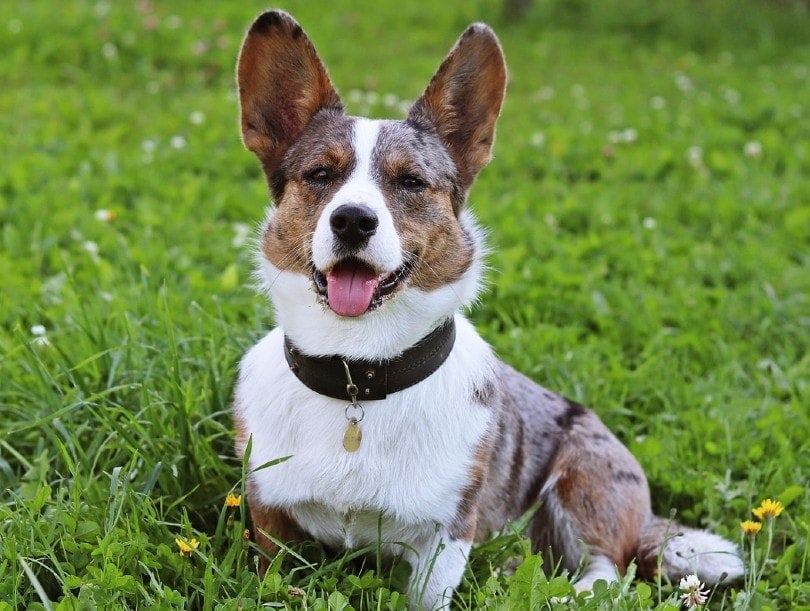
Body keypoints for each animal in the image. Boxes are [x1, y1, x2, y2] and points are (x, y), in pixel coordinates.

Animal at [230, 9, 740, 608]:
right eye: (319, 175)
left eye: (411, 181)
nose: (353, 220)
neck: (358, 375)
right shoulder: (268, 515)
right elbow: (271, 578)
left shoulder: (447, 534)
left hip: (586, 477)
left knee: (607, 569)